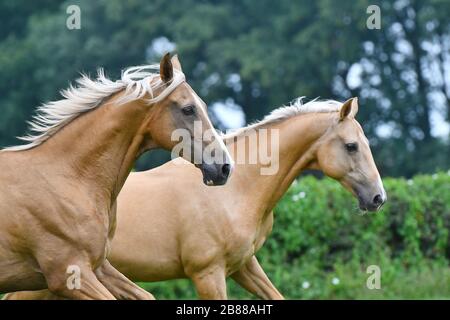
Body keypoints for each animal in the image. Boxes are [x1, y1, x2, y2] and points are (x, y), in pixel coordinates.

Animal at [0, 53, 232, 300]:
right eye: (188, 109)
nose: (224, 167)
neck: (69, 178)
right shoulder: (68, 274)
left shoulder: (99, 267)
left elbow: (146, 296)